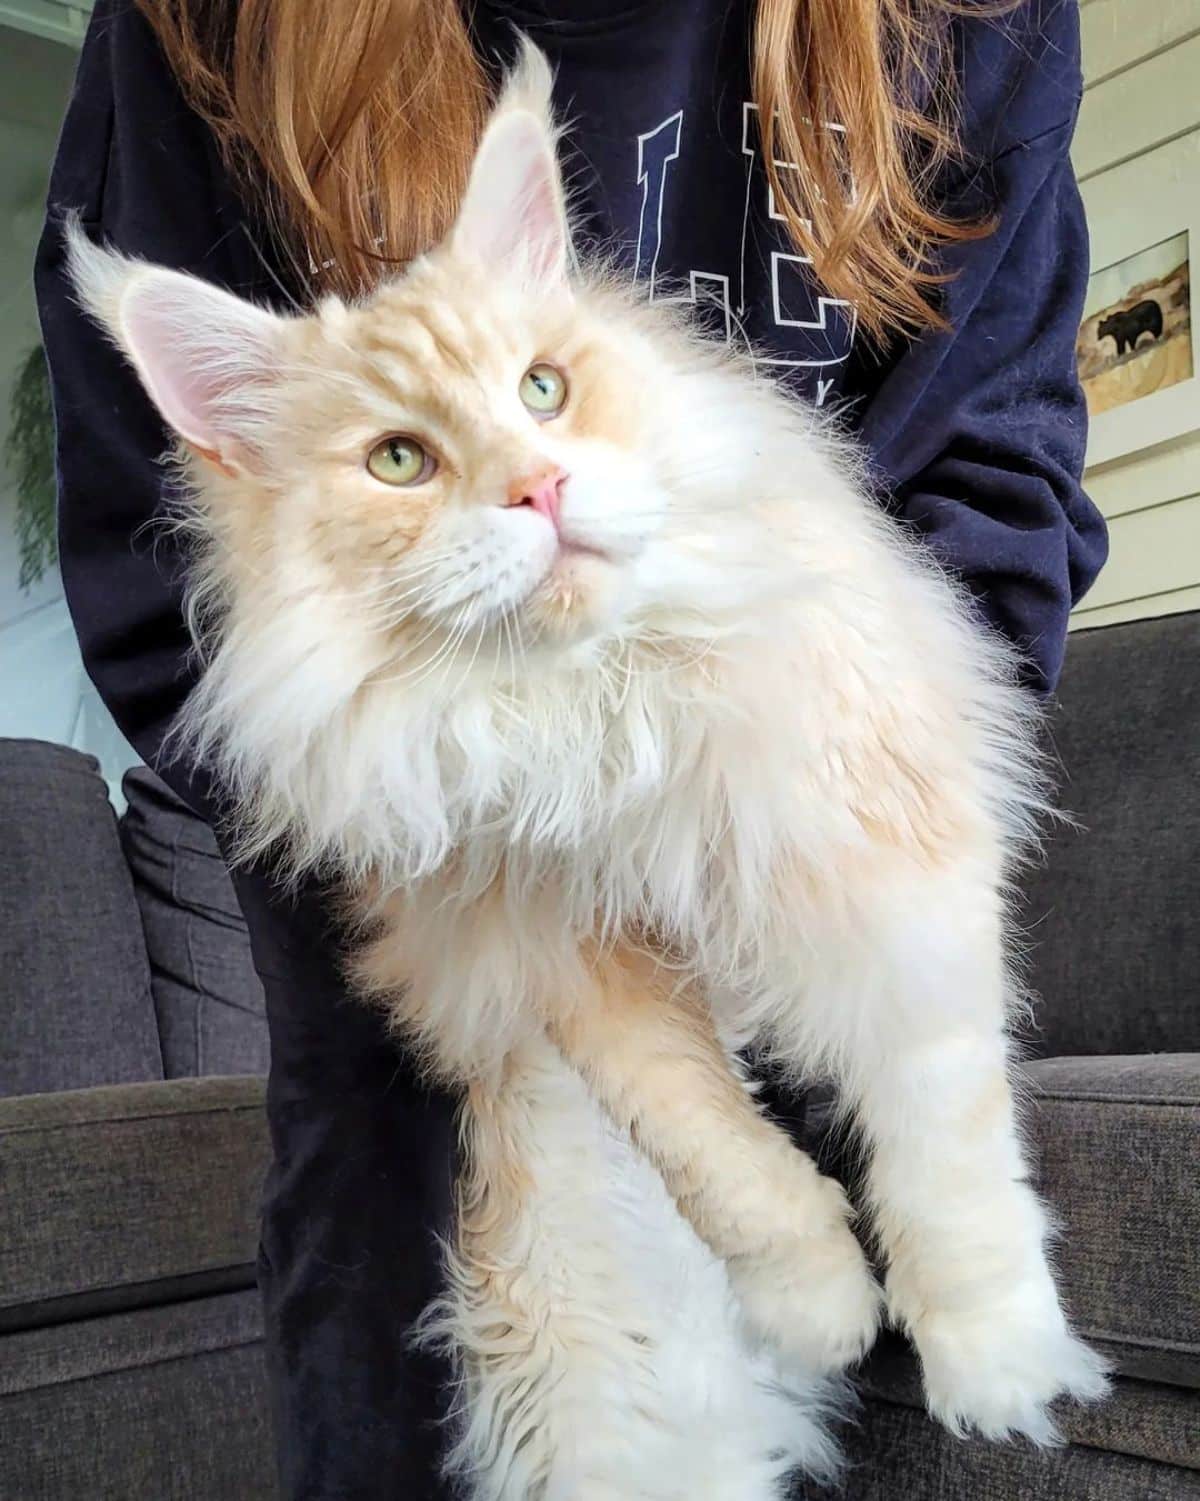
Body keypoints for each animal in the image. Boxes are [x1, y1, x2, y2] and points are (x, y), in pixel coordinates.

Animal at [70, 46, 1105, 1501]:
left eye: (543, 391)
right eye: (400, 461)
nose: (541, 490)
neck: (587, 711)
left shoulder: (884, 873)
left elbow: (940, 1145)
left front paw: (993, 1363)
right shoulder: (562, 953)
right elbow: (719, 1150)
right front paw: (820, 1300)